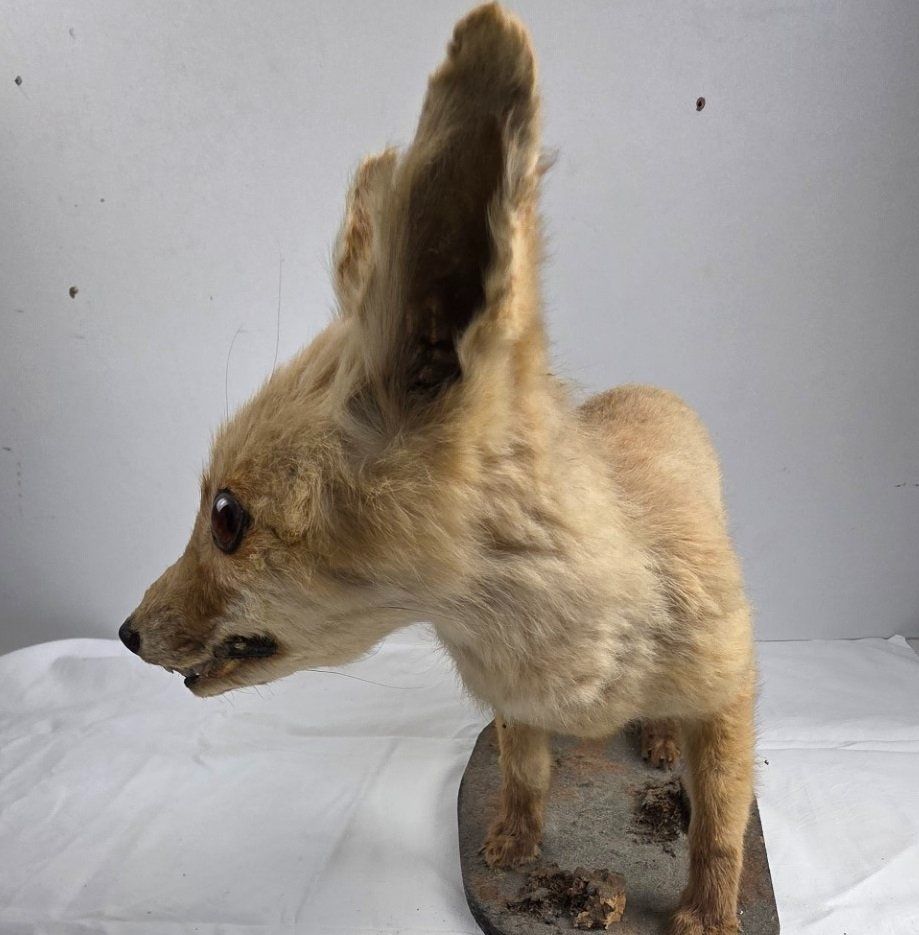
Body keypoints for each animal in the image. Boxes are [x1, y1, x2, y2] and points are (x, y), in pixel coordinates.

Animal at [121, 5, 756, 933]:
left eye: (227, 516)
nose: (125, 633)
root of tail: (646, 389)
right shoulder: (512, 707)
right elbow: (524, 775)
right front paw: (515, 843)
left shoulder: (732, 687)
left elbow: (719, 822)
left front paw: (707, 914)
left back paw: (660, 734)